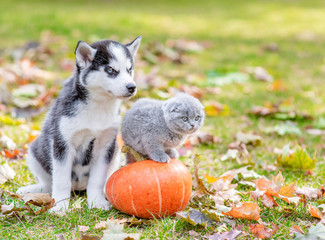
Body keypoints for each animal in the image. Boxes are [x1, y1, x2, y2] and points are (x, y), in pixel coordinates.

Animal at [16, 36, 140, 212]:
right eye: (110, 70)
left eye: (129, 70)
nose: (132, 87)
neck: (97, 107)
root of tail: (78, 187)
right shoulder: (62, 143)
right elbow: (61, 180)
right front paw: (60, 206)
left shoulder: (105, 146)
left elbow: (97, 180)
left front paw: (96, 201)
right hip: (35, 151)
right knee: (48, 183)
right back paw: (34, 191)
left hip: (115, 154)